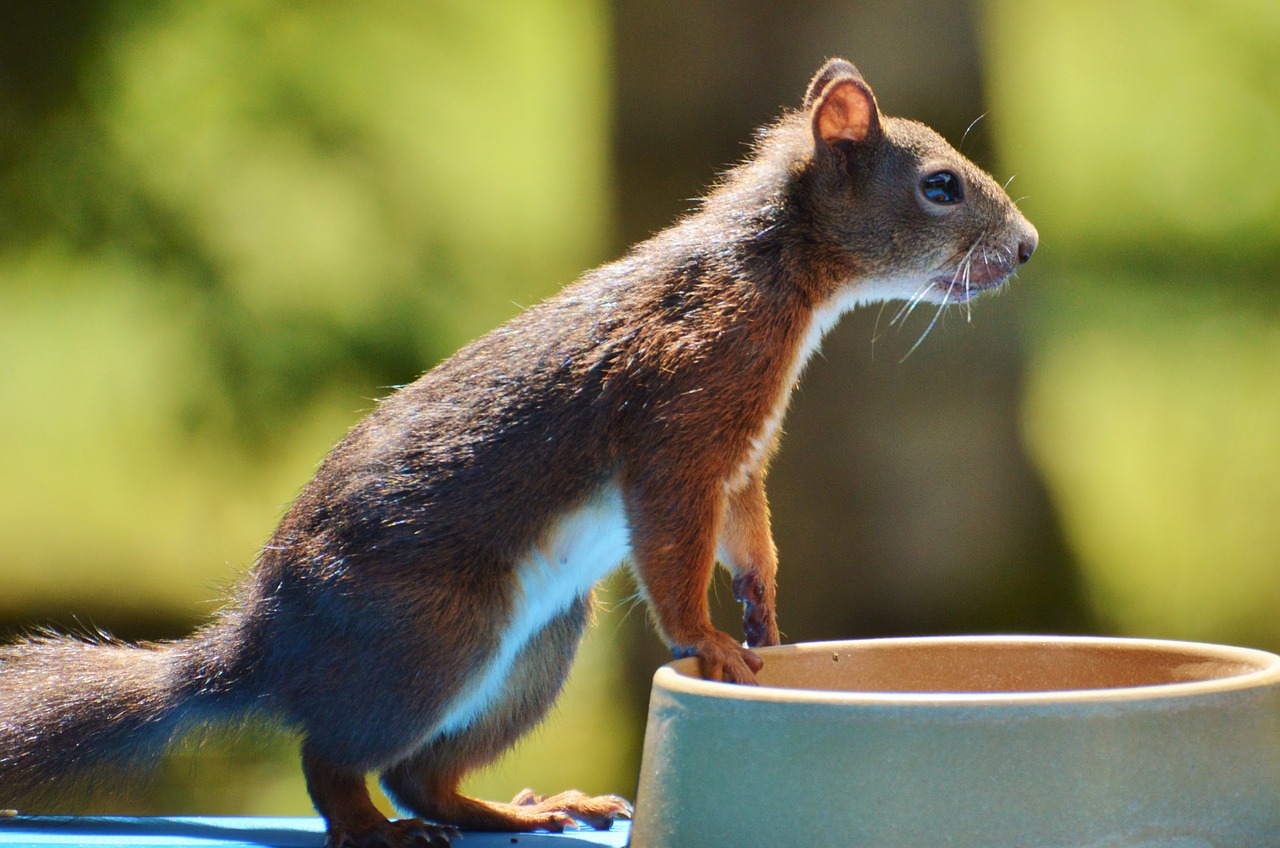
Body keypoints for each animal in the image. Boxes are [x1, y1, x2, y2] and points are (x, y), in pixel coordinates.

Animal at [0, 59, 1029, 848]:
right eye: (941, 186)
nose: (1025, 249)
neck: (778, 279)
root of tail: (262, 647)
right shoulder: (679, 416)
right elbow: (673, 542)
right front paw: (706, 639)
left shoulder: (741, 453)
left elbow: (750, 534)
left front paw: (766, 613)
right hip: (434, 633)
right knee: (334, 760)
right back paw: (375, 829)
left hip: (536, 649)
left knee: (422, 774)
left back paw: (520, 811)